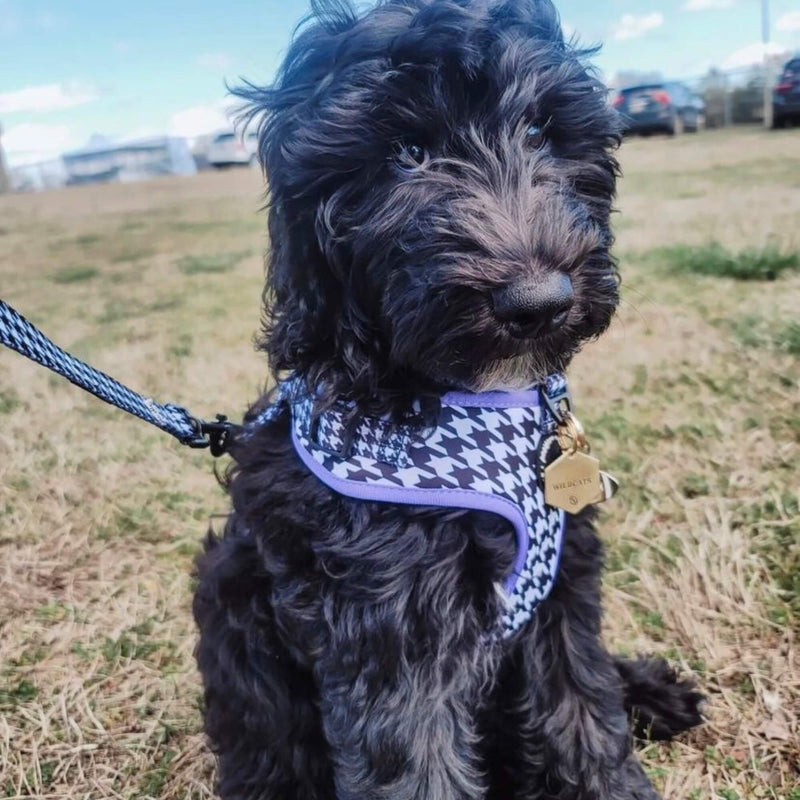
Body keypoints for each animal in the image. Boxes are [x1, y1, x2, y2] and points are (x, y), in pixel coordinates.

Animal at [192, 3, 700, 796]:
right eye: (407, 154)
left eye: (539, 131)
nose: (539, 304)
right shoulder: (389, 619)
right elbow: (413, 760)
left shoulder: (563, 584)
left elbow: (583, 708)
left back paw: (649, 688)